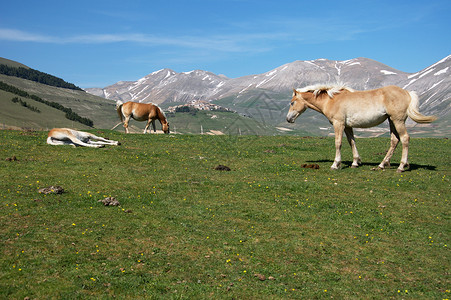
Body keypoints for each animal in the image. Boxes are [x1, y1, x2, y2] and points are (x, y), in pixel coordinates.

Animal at [286, 85, 438, 173]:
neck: (331, 100)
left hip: (397, 120)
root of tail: (406, 92)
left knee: (405, 138)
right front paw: (355, 162)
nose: (288, 119)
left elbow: (338, 143)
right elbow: (352, 142)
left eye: (292, 103)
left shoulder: (338, 124)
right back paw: (382, 164)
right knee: (395, 140)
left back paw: (401, 166)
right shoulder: (347, 126)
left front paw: (335, 164)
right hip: (391, 121)